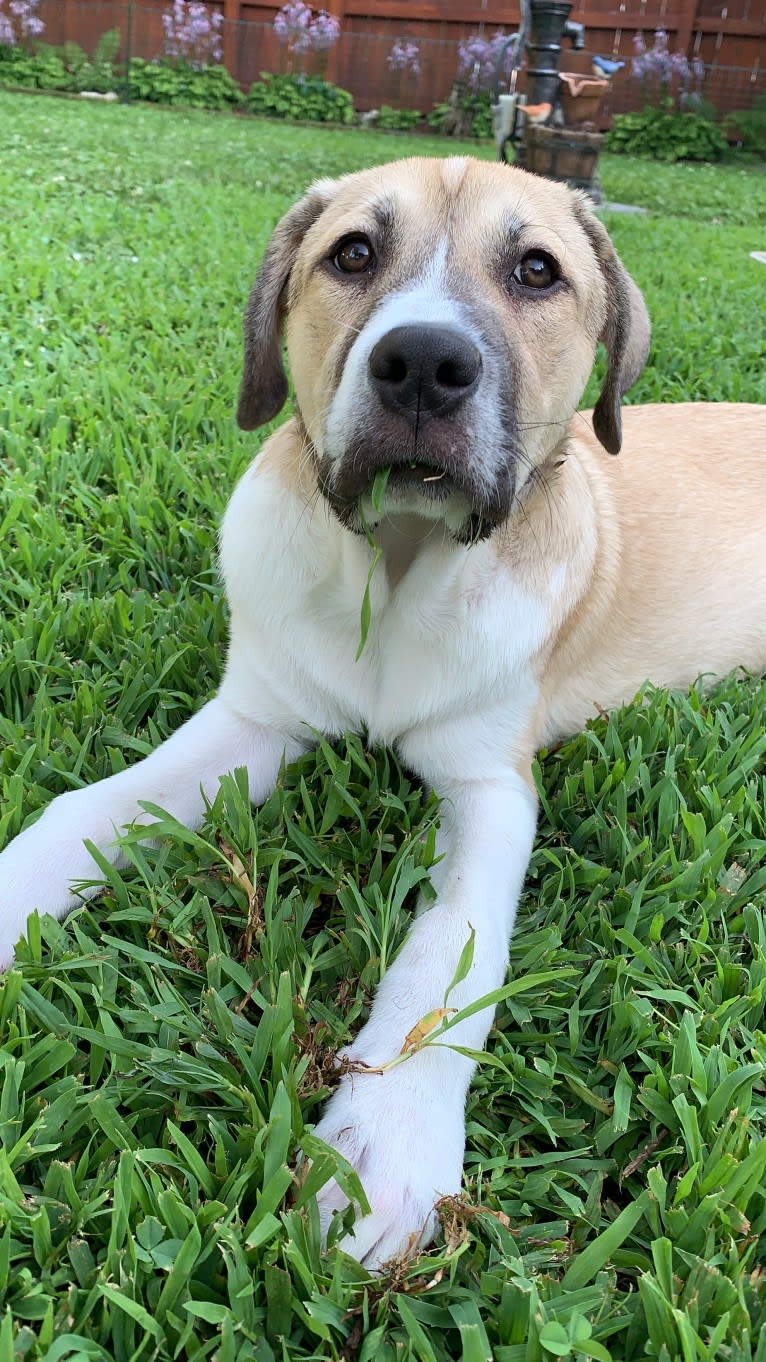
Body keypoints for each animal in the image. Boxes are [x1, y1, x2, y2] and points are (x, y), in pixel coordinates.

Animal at [1, 156, 763, 1263]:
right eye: (352, 253)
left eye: (537, 270)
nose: (422, 364)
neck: (397, 570)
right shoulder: (256, 716)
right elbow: (89, 809)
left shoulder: (490, 788)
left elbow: (448, 954)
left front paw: (386, 1140)